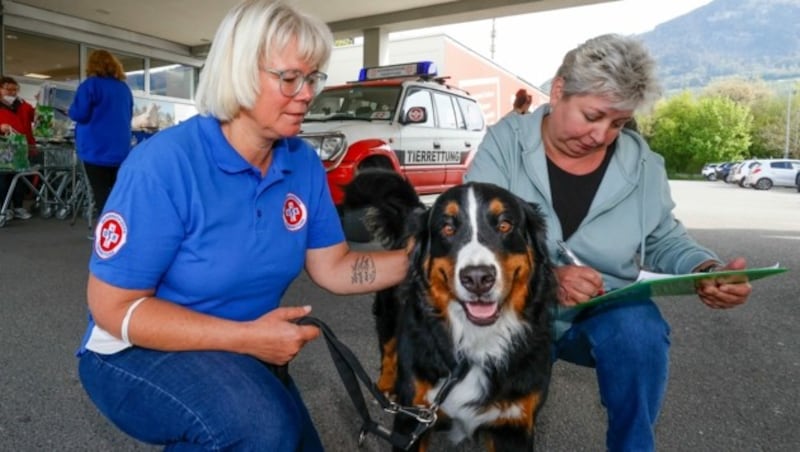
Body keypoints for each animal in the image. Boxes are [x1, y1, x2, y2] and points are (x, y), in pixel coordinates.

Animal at [342, 170, 556, 452]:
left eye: (505, 225)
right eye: (448, 228)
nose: (477, 278)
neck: (476, 340)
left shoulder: (513, 423)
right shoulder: (413, 417)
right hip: (389, 311)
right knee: (388, 345)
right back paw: (387, 384)